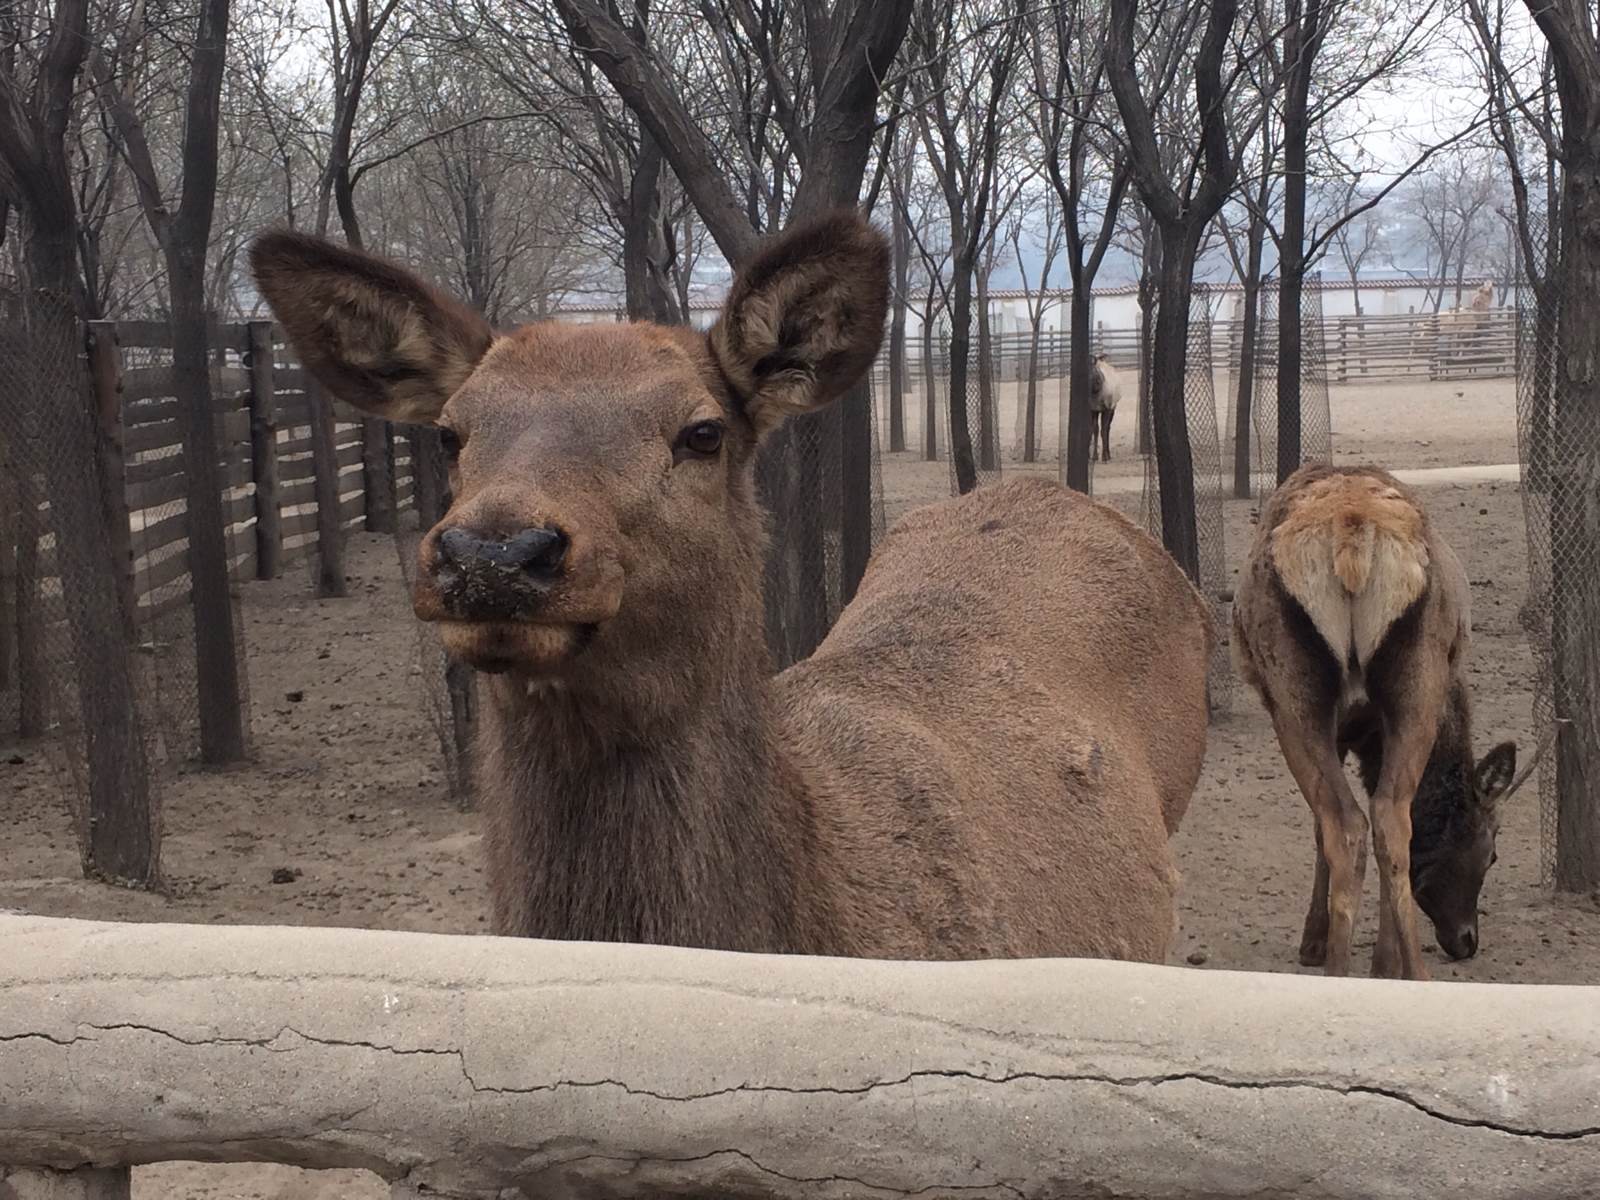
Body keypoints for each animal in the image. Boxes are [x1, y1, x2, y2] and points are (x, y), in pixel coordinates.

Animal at [1228, 464, 1516, 979]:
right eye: (1492, 853)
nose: (1468, 941)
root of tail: (1353, 541)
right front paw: (1381, 959)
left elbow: (1325, 826)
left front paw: (1323, 945)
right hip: (1414, 684)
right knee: (1385, 818)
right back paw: (1408, 972)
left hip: (1294, 699)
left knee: (1351, 822)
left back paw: (1342, 969)